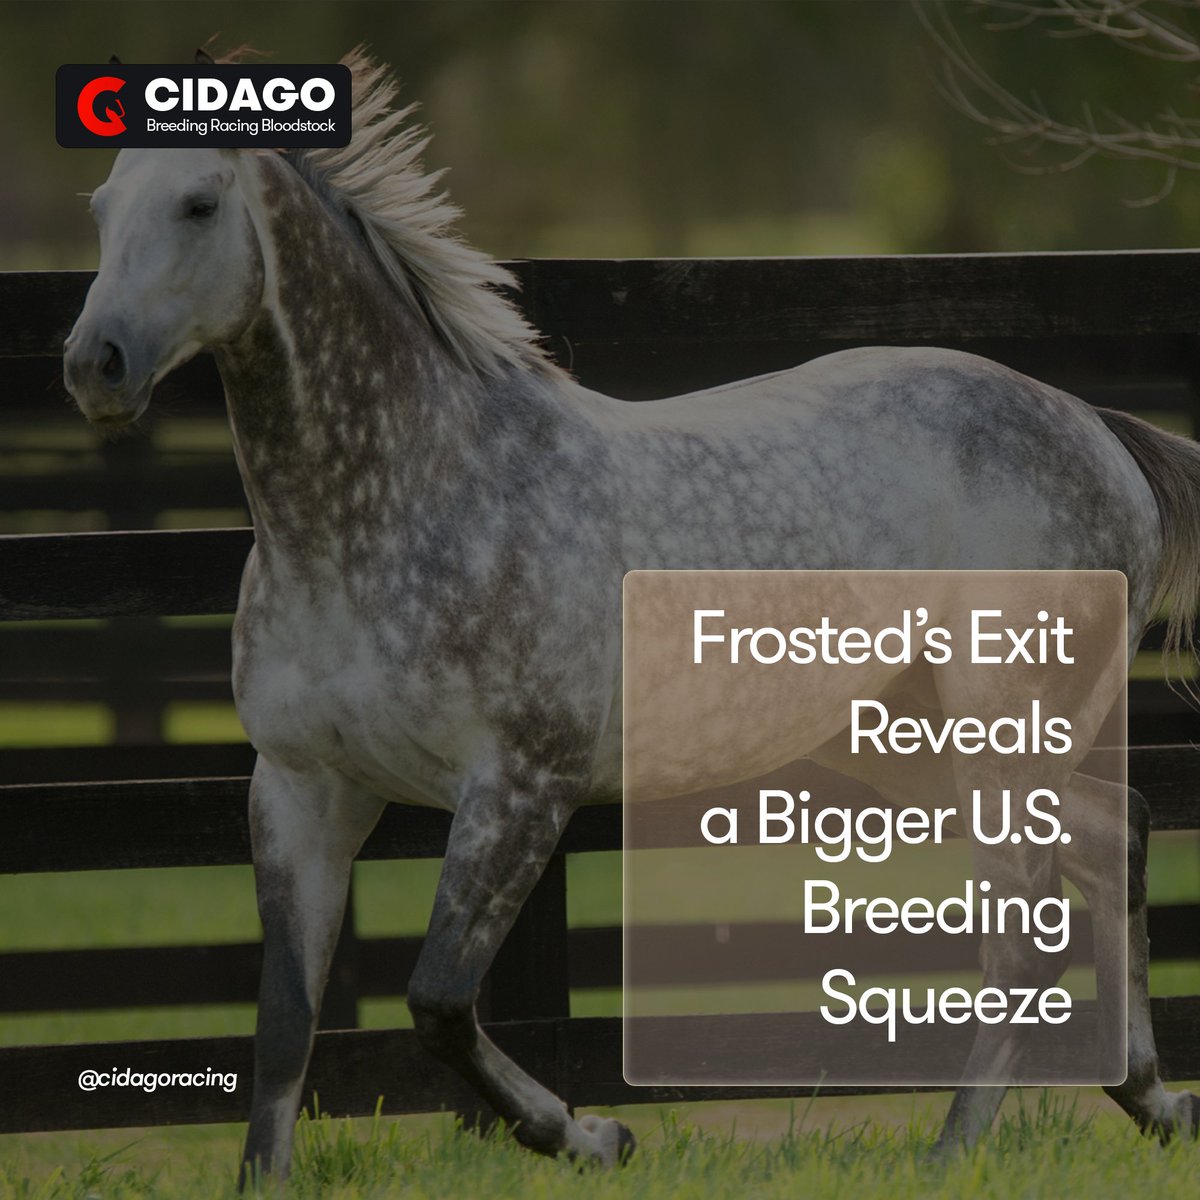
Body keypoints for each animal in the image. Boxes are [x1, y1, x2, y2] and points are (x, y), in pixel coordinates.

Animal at [62, 48, 1200, 1182]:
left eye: (201, 202)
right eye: (102, 204)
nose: (93, 365)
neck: (402, 501)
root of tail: (1097, 428)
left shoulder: (522, 789)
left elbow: (439, 1003)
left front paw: (594, 1135)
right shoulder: (302, 791)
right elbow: (287, 1023)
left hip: (997, 737)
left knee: (1026, 929)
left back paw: (952, 1152)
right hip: (907, 742)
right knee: (1118, 834)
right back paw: (1154, 1101)